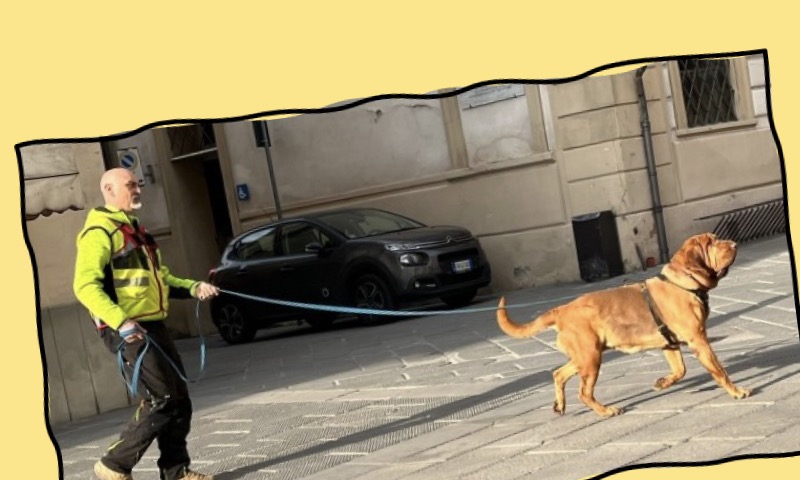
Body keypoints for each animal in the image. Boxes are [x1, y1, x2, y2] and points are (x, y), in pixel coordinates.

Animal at [496, 233, 751, 417]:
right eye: (712, 243)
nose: (735, 244)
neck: (683, 283)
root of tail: (561, 311)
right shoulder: (699, 340)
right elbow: (720, 372)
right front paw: (737, 391)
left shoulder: (669, 345)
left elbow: (680, 370)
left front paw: (662, 382)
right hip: (590, 358)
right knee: (583, 392)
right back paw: (606, 410)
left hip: (584, 357)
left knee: (558, 374)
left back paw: (560, 405)